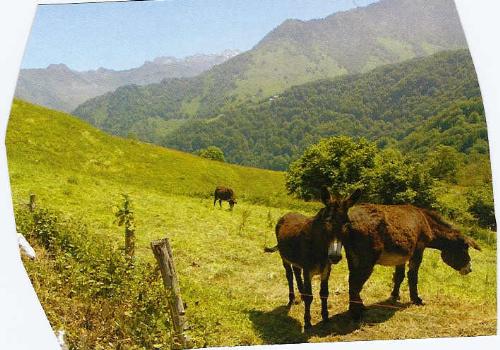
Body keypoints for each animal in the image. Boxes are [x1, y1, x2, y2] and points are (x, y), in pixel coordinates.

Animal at [264, 187, 362, 330]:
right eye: (327, 221)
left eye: (347, 224)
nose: (335, 257)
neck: (320, 248)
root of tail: (288, 214)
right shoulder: (307, 271)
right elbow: (309, 296)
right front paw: (307, 322)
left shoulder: (326, 270)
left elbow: (324, 293)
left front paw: (325, 317)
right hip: (284, 258)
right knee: (289, 275)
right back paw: (291, 299)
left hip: (297, 262)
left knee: (296, 273)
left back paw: (300, 293)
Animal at [344, 204, 480, 322]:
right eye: (464, 249)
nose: (470, 269)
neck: (427, 223)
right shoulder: (419, 249)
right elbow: (413, 276)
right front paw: (416, 299)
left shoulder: (402, 256)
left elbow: (399, 276)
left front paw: (394, 296)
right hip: (366, 261)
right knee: (355, 283)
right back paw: (356, 314)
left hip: (352, 257)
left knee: (352, 282)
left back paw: (359, 308)